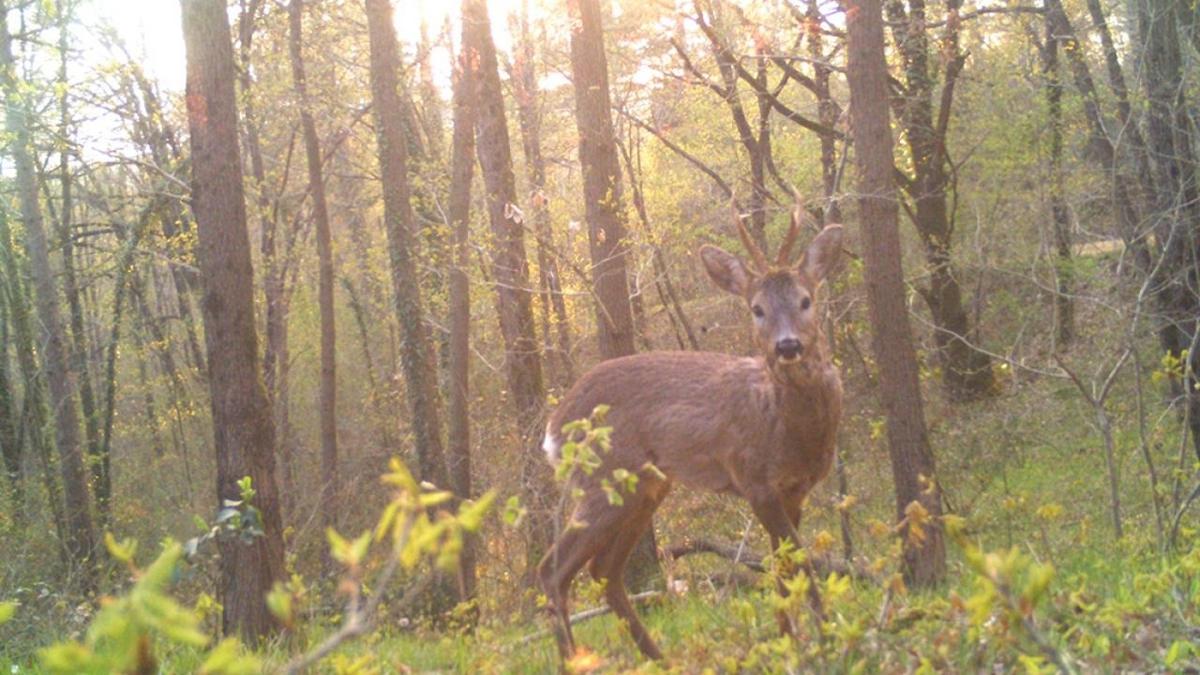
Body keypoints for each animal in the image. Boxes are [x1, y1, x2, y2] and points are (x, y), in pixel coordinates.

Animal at [540, 198, 849, 658]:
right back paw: (576, 661)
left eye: (806, 299)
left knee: (603, 570)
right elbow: (801, 560)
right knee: (553, 570)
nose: (788, 345)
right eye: (757, 308)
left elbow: (782, 565)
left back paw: (659, 659)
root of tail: (554, 427)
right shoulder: (754, 479)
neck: (784, 426)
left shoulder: (795, 489)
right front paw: (825, 641)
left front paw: (788, 642)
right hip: (602, 480)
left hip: (646, 487)